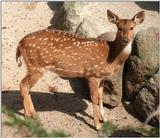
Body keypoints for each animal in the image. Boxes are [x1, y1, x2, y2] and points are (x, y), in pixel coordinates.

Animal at [16, 10, 145, 130]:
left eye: (132, 27)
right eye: (119, 28)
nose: (125, 39)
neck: (111, 56)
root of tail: (20, 43)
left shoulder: (101, 77)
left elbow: (101, 96)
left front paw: (105, 119)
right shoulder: (92, 75)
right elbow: (94, 98)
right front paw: (97, 125)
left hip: (34, 68)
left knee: (27, 87)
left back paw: (33, 115)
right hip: (36, 66)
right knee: (23, 85)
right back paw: (29, 117)